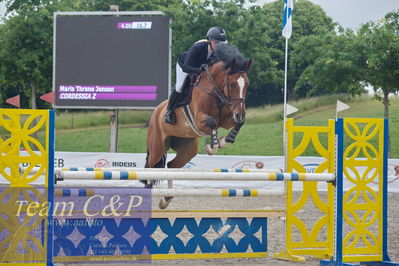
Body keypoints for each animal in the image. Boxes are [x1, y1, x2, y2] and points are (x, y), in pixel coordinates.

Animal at [145, 44, 250, 209]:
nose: (240, 113)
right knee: (150, 166)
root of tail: (155, 112)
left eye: (247, 84)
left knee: (171, 165)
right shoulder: (199, 120)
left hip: (187, 148)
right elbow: (212, 123)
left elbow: (237, 124)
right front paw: (212, 146)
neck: (215, 90)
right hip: (157, 146)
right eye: (231, 84)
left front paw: (224, 141)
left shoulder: (227, 119)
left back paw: (166, 199)